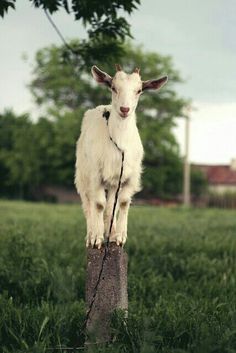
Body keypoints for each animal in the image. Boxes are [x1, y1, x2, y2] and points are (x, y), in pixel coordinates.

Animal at [74, 65, 167, 248]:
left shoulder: (129, 177)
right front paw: (97, 238)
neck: (119, 143)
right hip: (82, 175)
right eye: (113, 88)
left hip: (112, 182)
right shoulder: (96, 174)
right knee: (88, 204)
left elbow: (121, 203)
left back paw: (111, 232)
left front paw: (119, 236)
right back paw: (91, 235)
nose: (125, 110)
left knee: (111, 206)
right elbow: (98, 205)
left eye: (139, 90)